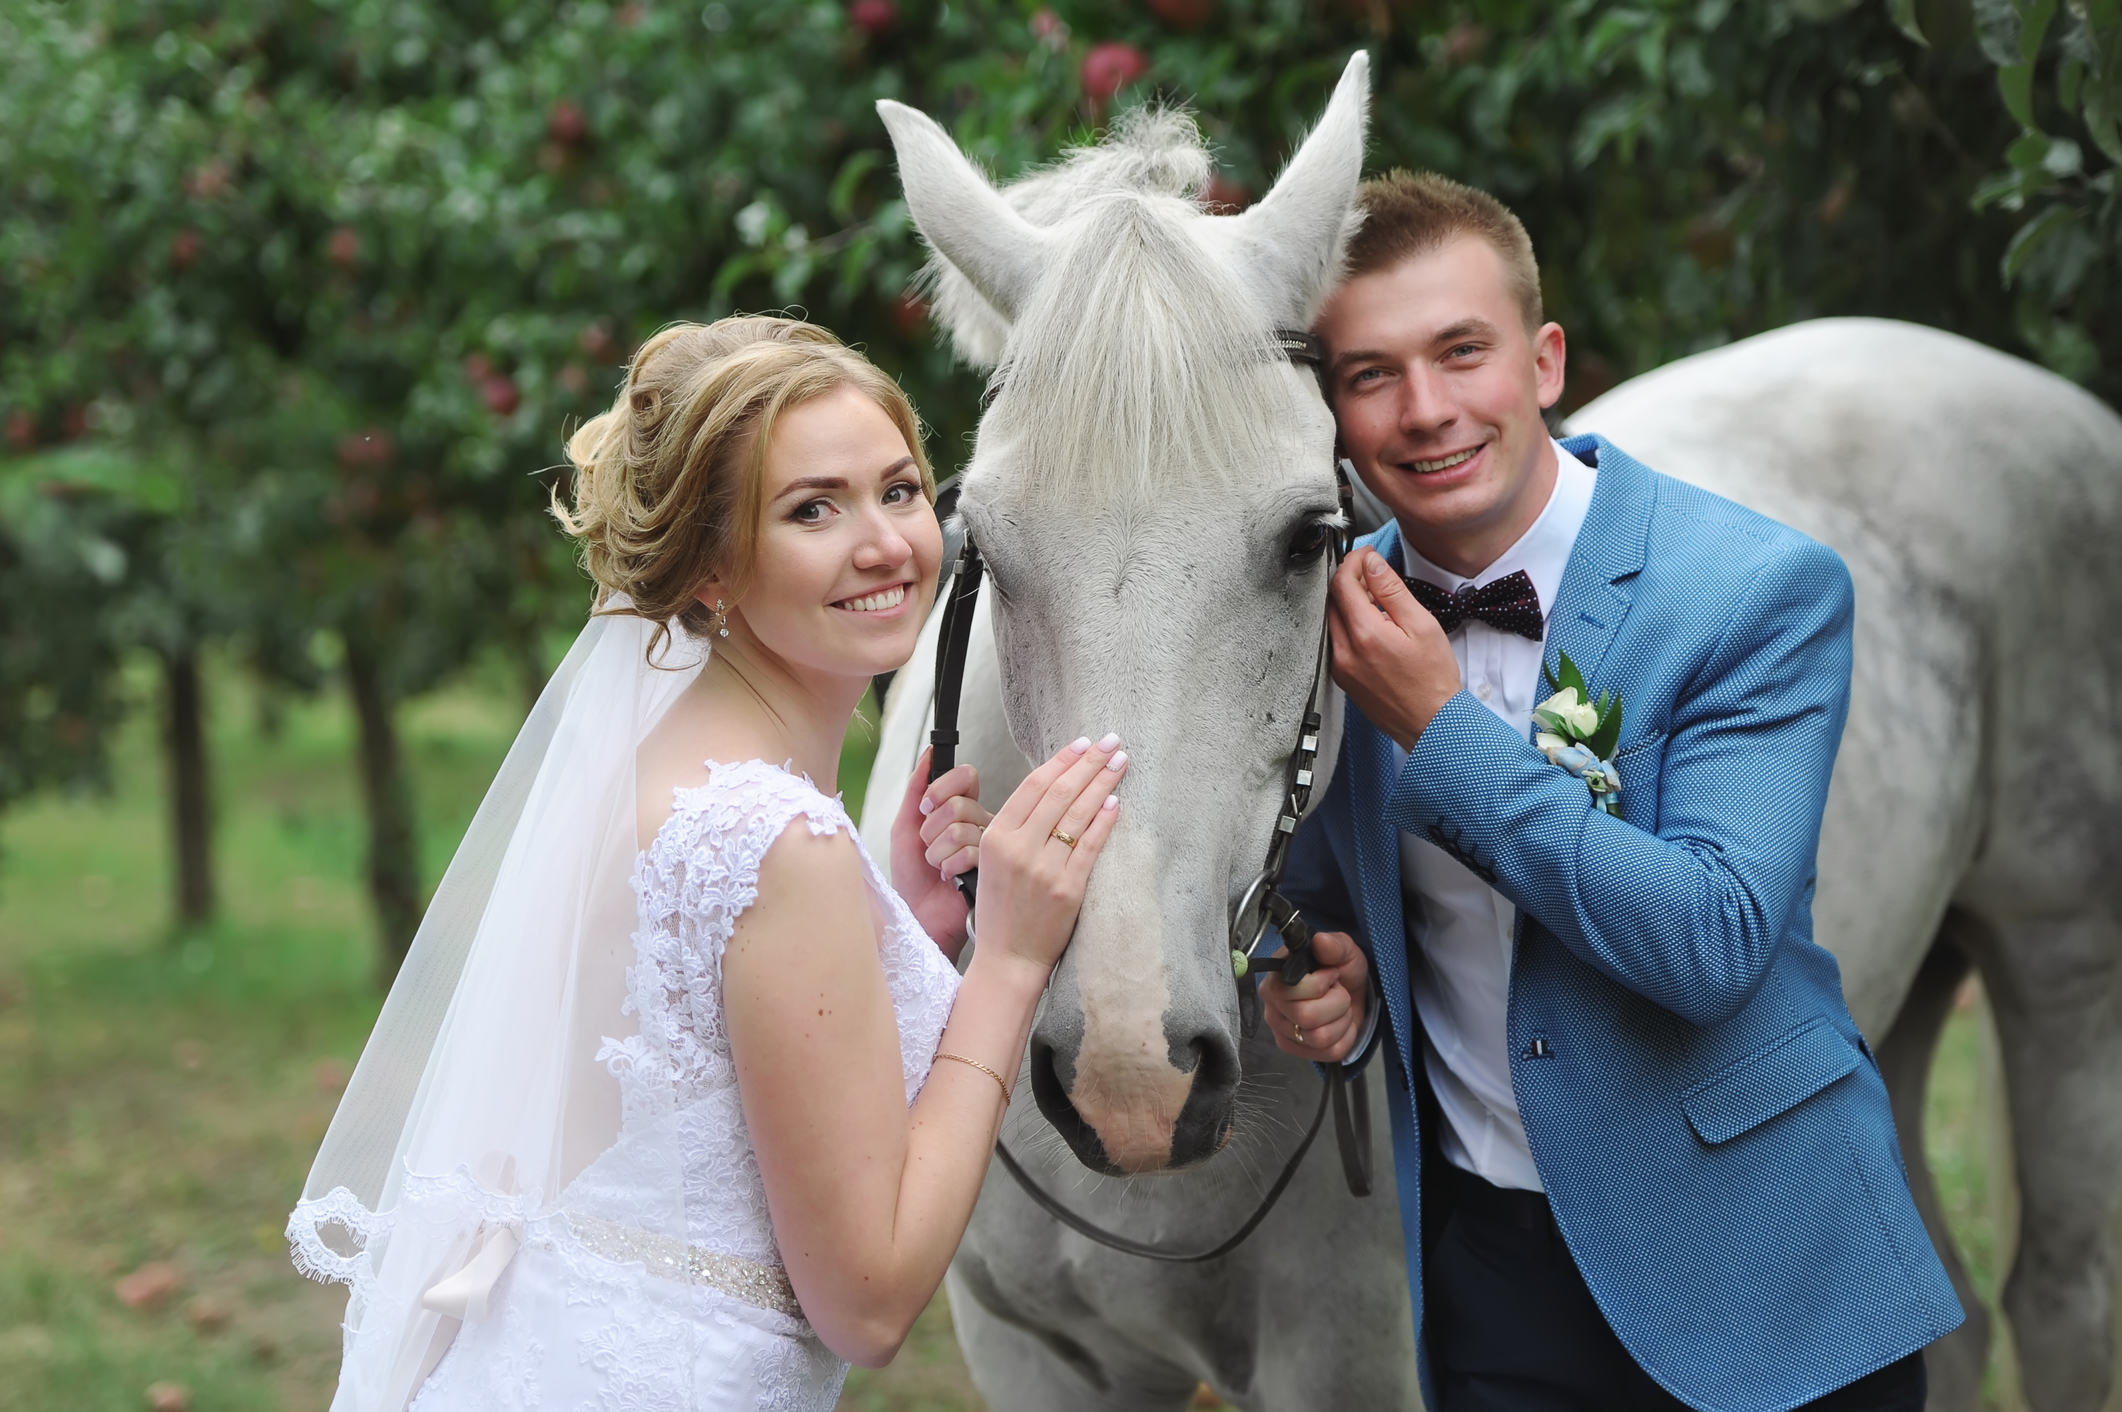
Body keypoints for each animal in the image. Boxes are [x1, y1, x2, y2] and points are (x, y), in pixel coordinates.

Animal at [865, 57, 2122, 1409]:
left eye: (1308, 537)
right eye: (984, 544)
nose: (1132, 1073)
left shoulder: (1351, 1360)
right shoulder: (1035, 1354)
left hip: (2066, 959)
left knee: (2057, 1292)